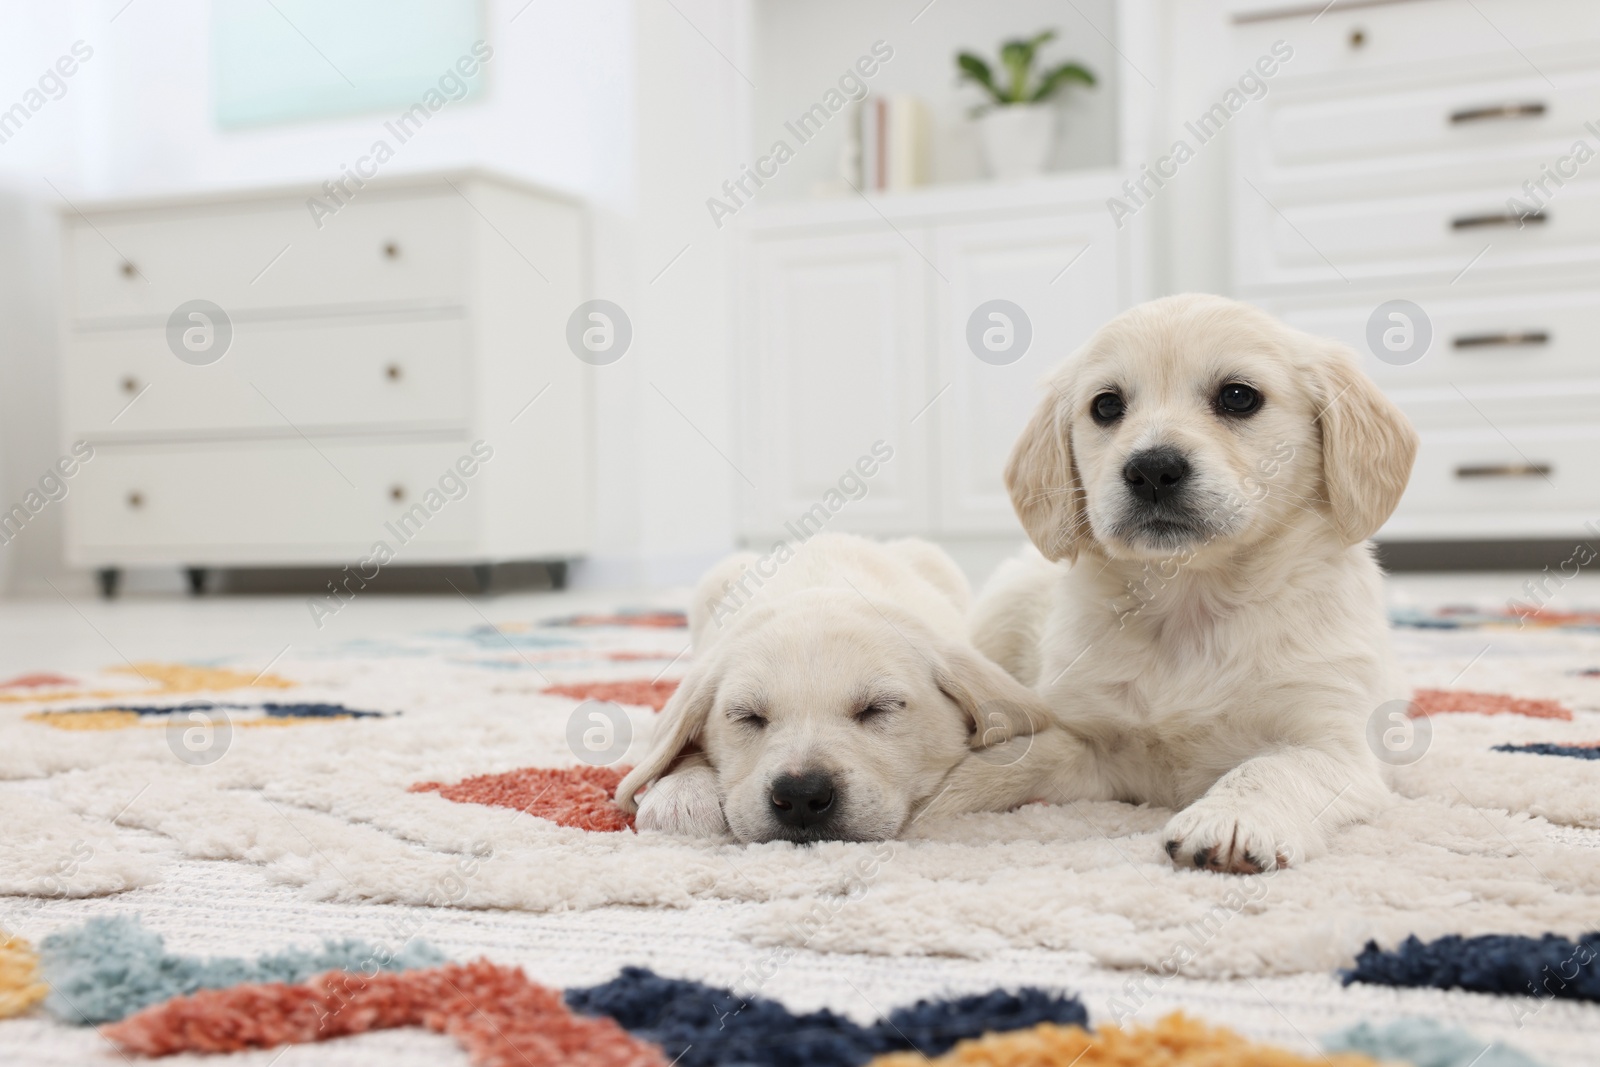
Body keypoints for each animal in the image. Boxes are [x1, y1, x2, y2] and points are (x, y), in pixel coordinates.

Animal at [921, 294, 1420, 876]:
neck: (1190, 602)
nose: (1152, 470)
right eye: (1106, 407)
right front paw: (929, 797)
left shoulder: (1338, 748)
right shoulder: (1089, 739)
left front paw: (1230, 819)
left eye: (1238, 397)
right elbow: (1020, 756)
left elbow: (1273, 767)